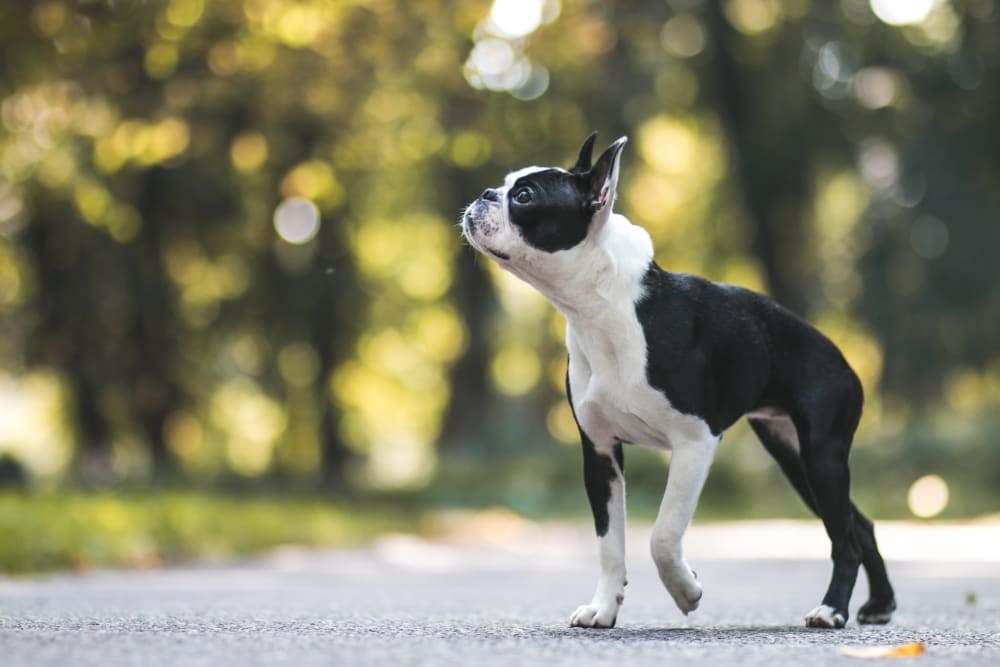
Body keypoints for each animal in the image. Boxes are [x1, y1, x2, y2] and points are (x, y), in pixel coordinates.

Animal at [462, 133, 900, 628]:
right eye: (505, 185)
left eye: (524, 196)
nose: (485, 194)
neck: (600, 309)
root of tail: (838, 353)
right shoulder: (600, 453)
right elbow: (610, 545)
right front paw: (603, 608)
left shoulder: (694, 441)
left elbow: (662, 535)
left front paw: (685, 590)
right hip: (796, 457)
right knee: (858, 525)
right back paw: (879, 604)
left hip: (822, 455)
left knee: (843, 537)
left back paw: (832, 609)